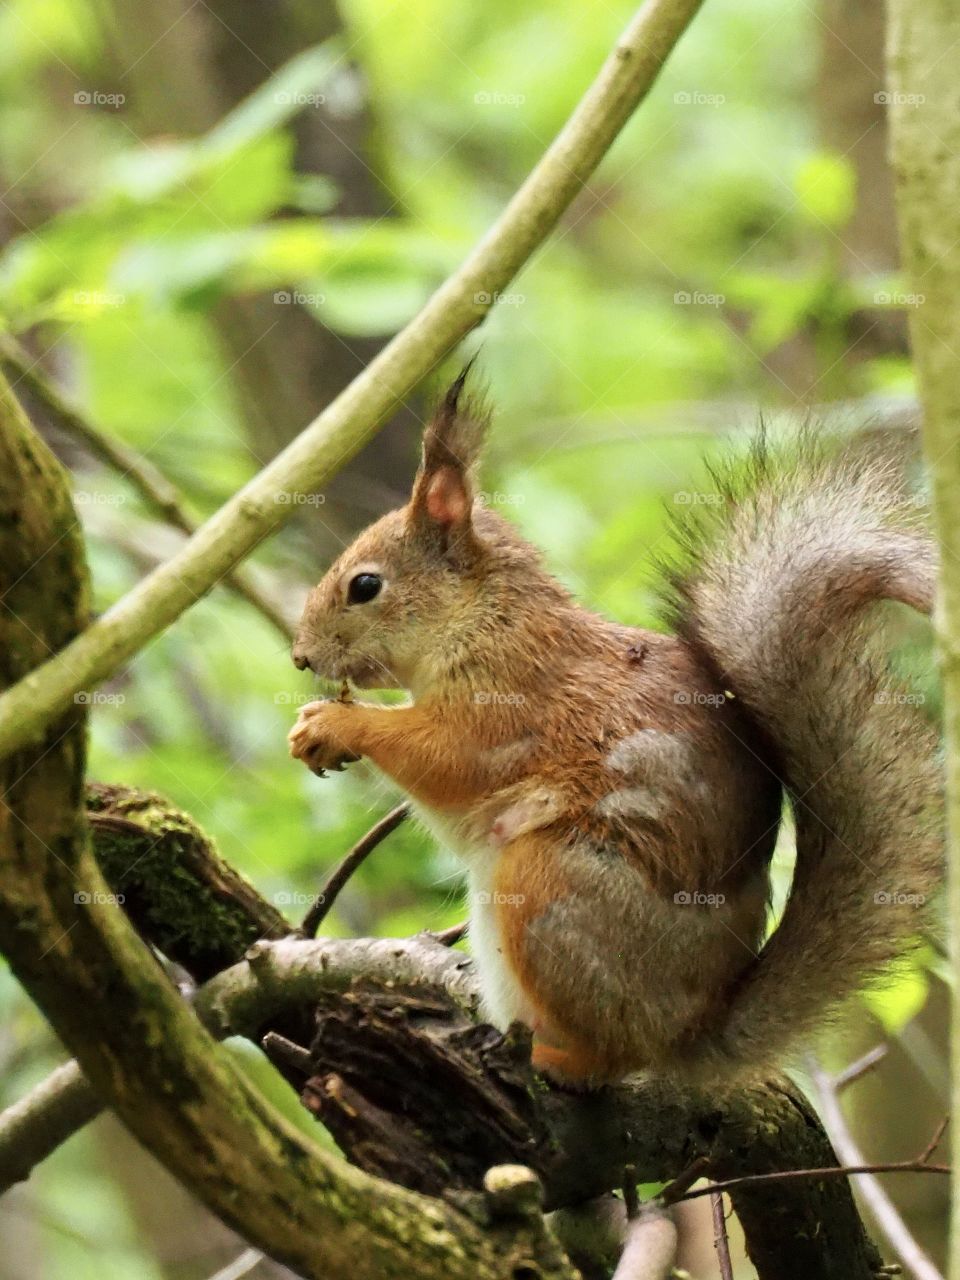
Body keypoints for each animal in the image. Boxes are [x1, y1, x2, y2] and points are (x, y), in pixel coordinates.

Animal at [289, 368, 943, 1087]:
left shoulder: (510, 705)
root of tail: (682, 1038)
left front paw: (335, 722)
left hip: (551, 883)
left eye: (365, 586)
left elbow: (448, 756)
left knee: (606, 1060)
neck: (484, 617)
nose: (301, 657)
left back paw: (548, 1058)